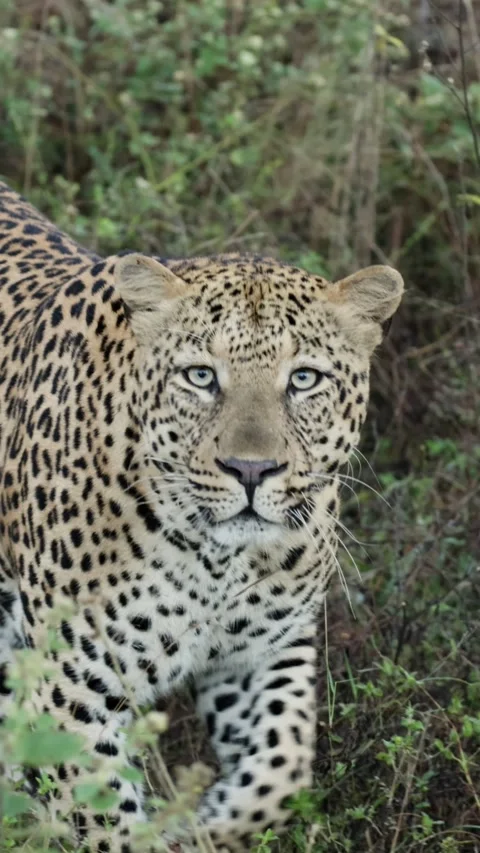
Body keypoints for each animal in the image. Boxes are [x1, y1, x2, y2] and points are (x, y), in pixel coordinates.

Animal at [0, 180, 403, 852]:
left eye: (303, 378)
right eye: (200, 376)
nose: (250, 470)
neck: (215, 560)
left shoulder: (263, 653)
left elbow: (283, 767)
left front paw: (203, 821)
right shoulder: (72, 694)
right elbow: (107, 826)